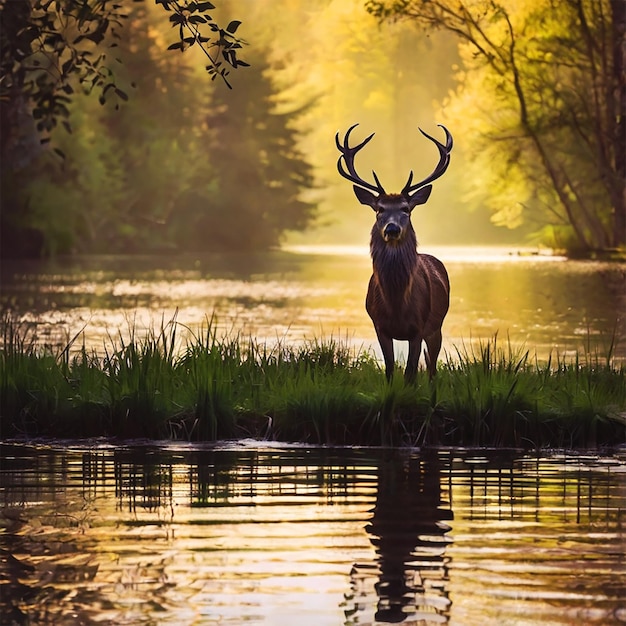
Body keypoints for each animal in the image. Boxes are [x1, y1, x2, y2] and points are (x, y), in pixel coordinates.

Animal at [334, 123, 450, 380]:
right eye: (379, 209)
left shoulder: (419, 327)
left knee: (432, 367)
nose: (392, 228)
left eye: (406, 209)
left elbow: (410, 372)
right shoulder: (379, 326)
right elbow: (388, 369)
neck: (397, 303)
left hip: (437, 326)